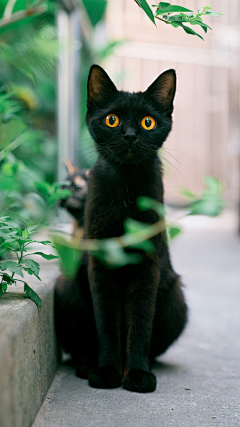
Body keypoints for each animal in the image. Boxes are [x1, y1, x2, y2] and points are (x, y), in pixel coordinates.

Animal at [54, 64, 188, 394]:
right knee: (81, 344)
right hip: (66, 285)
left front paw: (137, 373)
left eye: (148, 122)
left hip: (176, 298)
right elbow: (107, 321)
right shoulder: (100, 264)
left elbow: (139, 321)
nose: (129, 135)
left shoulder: (147, 265)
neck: (126, 185)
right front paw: (106, 371)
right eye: (112, 120)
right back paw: (87, 363)